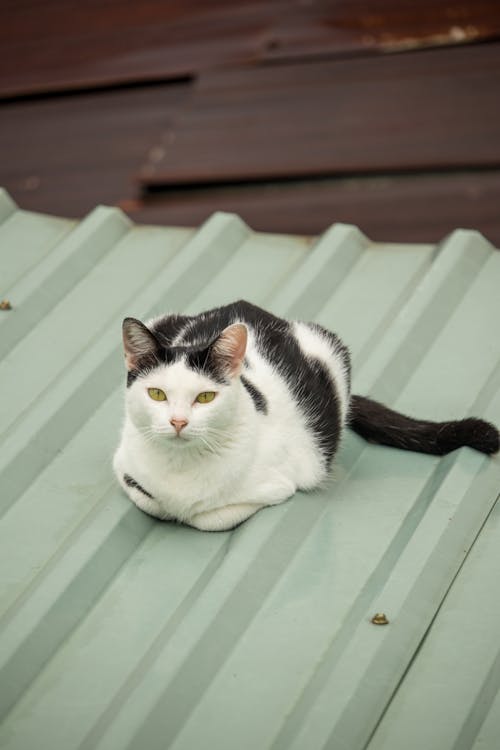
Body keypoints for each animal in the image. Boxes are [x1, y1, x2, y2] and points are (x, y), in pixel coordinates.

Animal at [114, 300, 500, 536]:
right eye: (157, 394)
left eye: (205, 397)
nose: (178, 422)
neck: (181, 467)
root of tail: (243, 306)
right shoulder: (123, 464)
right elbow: (149, 498)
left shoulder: (281, 483)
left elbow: (208, 517)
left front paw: (187, 511)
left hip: (331, 350)